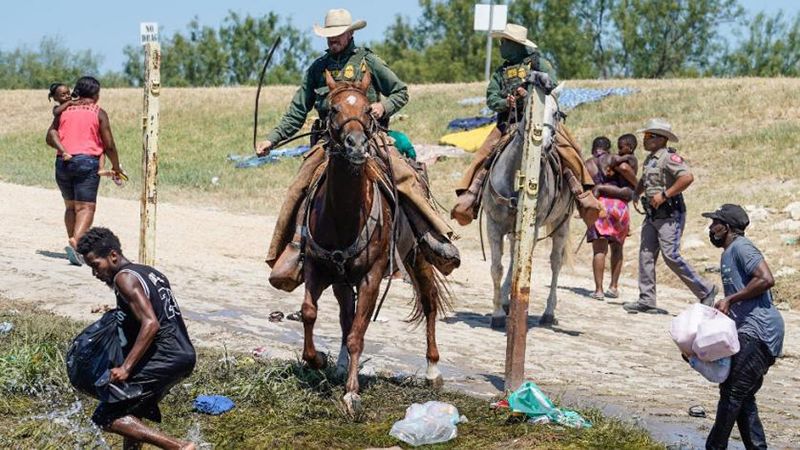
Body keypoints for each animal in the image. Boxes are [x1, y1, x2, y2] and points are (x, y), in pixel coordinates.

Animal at [302, 68, 446, 414]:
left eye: (369, 110)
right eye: (333, 108)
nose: (355, 145)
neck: (343, 215)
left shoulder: (372, 277)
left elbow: (358, 333)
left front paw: (352, 394)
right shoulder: (317, 267)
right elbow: (311, 313)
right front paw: (318, 359)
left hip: (418, 257)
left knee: (429, 301)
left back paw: (432, 369)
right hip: (342, 281)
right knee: (345, 316)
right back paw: (340, 363)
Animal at [484, 89, 572, 326]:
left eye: (556, 113)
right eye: (530, 109)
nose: (545, 145)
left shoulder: (533, 226)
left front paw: (503, 308)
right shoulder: (493, 224)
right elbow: (496, 268)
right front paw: (497, 313)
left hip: (561, 224)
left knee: (555, 263)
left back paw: (548, 313)